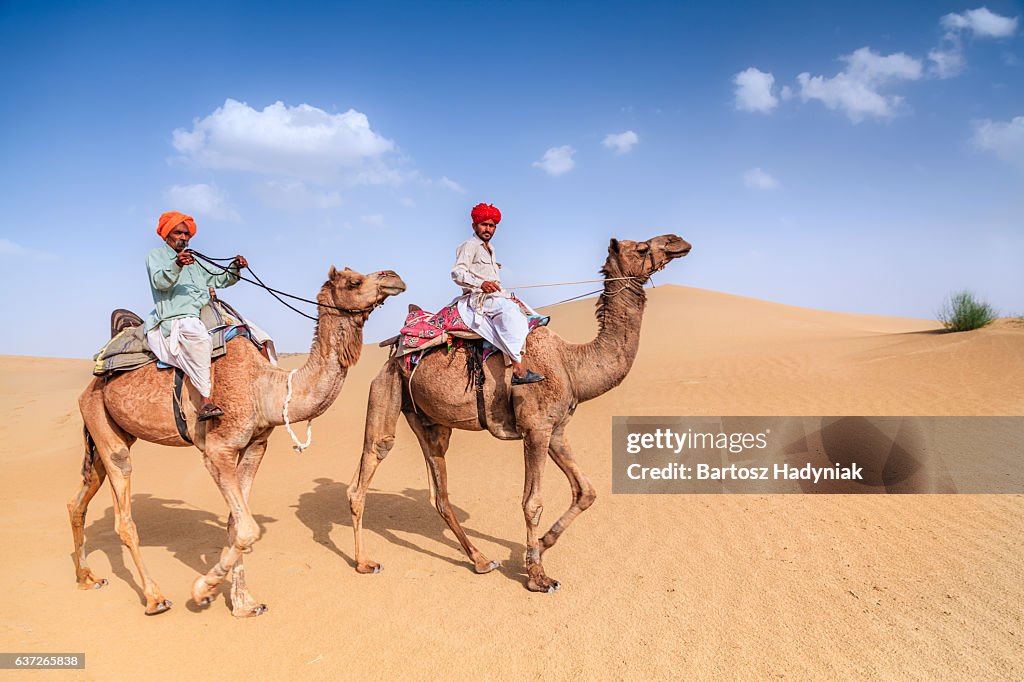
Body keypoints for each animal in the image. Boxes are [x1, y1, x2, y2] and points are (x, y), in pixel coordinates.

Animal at [69, 266, 405, 616]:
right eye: (354, 281)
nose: (394, 277)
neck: (266, 388)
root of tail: (92, 382)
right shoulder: (218, 449)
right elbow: (247, 528)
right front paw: (203, 590)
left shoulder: (255, 446)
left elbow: (235, 524)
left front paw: (244, 603)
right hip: (102, 421)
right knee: (123, 507)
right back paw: (154, 598)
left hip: (108, 431)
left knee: (80, 498)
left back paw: (87, 578)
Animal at [347, 234, 691, 592]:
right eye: (641, 248)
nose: (678, 242)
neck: (572, 363)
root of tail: (394, 349)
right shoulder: (536, 429)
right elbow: (533, 503)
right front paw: (538, 575)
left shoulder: (555, 430)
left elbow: (587, 491)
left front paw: (540, 546)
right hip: (386, 386)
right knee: (373, 458)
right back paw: (364, 563)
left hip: (430, 421)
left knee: (440, 493)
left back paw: (482, 561)